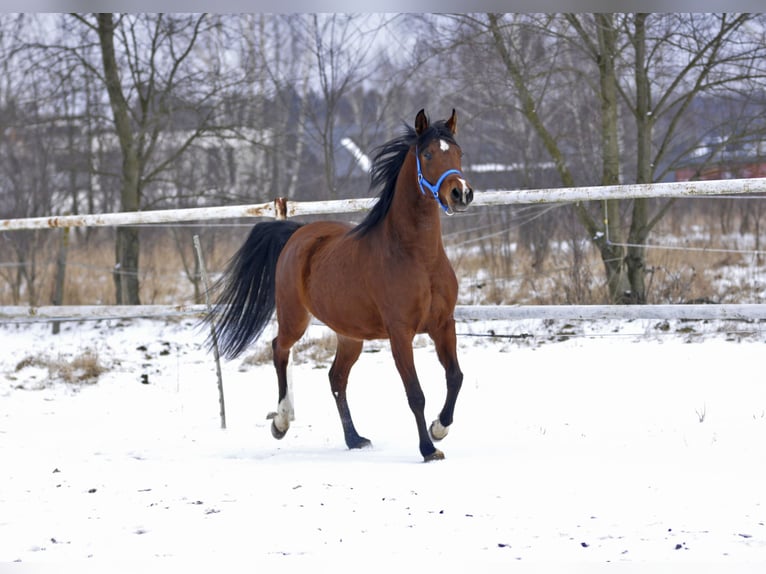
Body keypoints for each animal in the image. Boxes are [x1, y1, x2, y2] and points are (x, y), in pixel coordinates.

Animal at [207, 109, 474, 461]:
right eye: (428, 154)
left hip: (350, 334)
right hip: (294, 317)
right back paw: (281, 422)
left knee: (336, 378)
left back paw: (354, 438)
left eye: (458, 152)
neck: (418, 257)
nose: (461, 193)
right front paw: (429, 449)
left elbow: (455, 377)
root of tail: (297, 233)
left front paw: (438, 428)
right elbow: (415, 393)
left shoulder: (443, 324)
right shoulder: (400, 332)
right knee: (280, 348)